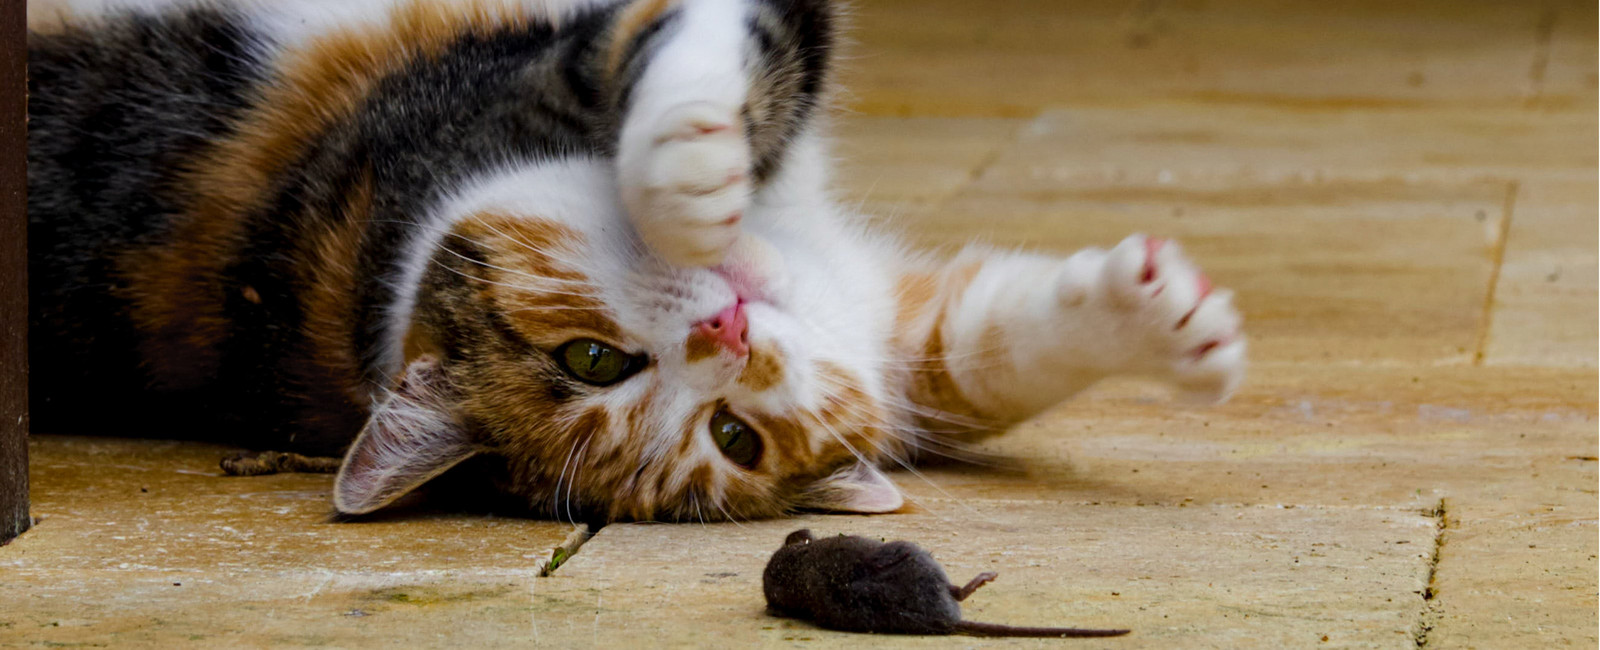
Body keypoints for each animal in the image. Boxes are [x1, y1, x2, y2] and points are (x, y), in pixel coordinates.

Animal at [28, 0, 1248, 521]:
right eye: (594, 360)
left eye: (733, 432)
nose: (729, 333)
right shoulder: (546, 67)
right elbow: (697, 37)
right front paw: (689, 168)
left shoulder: (883, 329)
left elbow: (983, 348)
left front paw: (1169, 321)